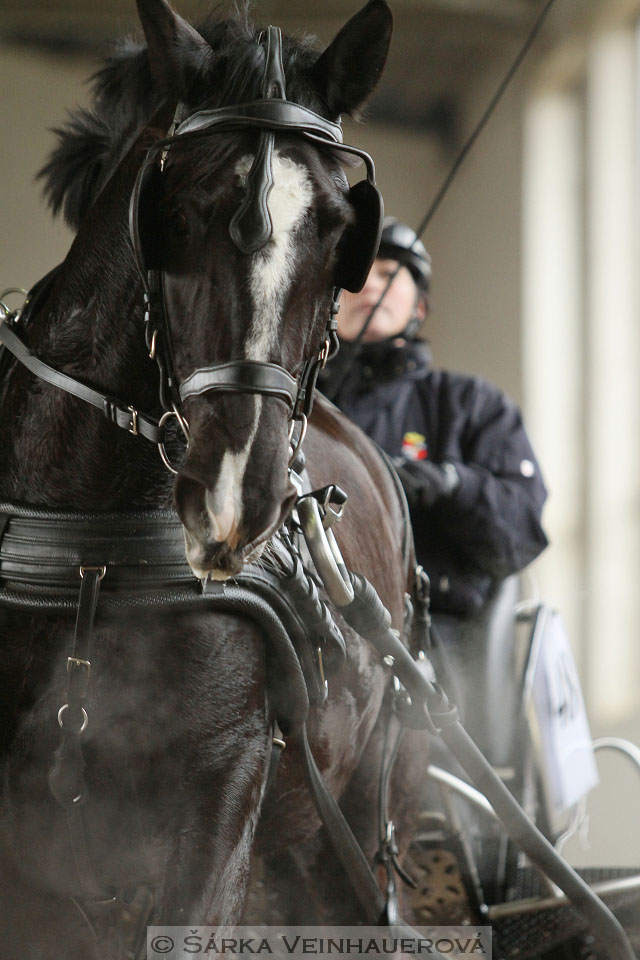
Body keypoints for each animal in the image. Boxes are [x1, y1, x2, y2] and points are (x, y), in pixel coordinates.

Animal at [1, 3, 430, 956]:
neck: (94, 561)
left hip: (360, 816)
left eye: (341, 230)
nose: (236, 498)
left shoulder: (223, 794)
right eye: (177, 210)